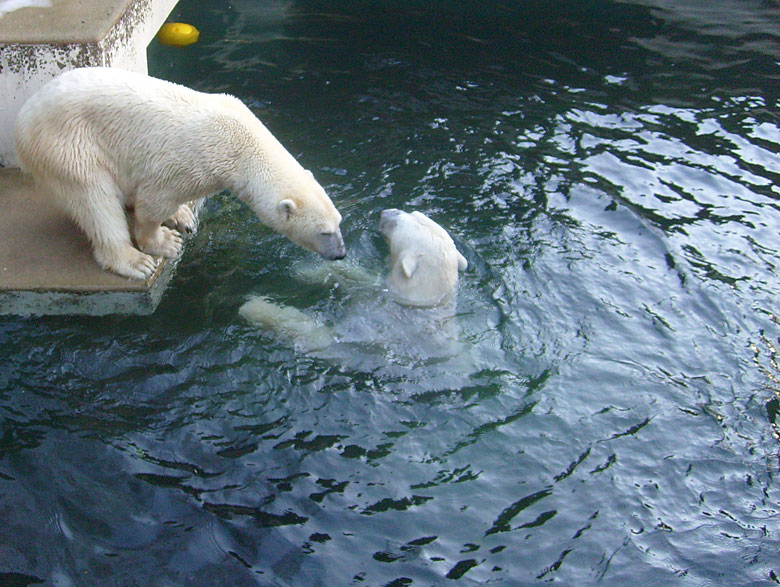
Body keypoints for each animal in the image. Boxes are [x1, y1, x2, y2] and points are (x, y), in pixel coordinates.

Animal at [14, 68, 344, 280]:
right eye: (323, 232)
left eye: (339, 223)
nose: (340, 253)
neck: (243, 142)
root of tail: (24, 118)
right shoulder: (194, 161)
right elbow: (153, 202)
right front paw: (162, 243)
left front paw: (180, 218)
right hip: (67, 145)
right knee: (94, 199)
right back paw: (134, 261)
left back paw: (181, 215)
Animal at [241, 209, 466, 352]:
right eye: (413, 213)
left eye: (398, 223)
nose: (384, 211)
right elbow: (358, 279)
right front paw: (305, 270)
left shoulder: (373, 330)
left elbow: (321, 336)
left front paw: (254, 307)